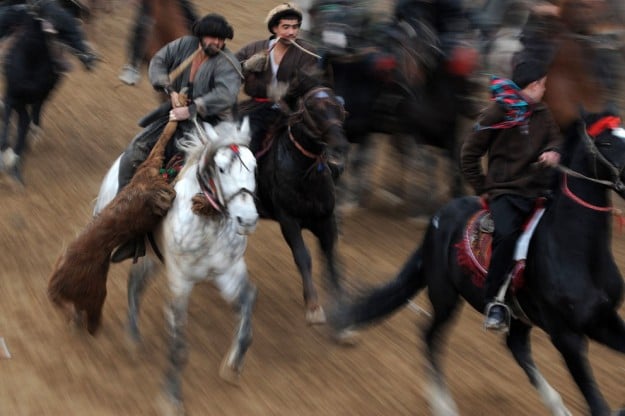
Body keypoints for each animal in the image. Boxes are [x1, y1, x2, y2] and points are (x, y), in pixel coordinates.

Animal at [0, 1, 95, 184]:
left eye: (73, 22)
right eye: (62, 29)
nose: (91, 59)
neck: (29, 63)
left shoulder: (35, 97)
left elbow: (25, 123)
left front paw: (15, 164)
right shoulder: (12, 97)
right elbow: (8, 125)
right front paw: (7, 154)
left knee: (35, 113)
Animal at [93, 118, 258, 412]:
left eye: (255, 166)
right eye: (222, 168)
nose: (247, 219)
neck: (207, 224)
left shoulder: (228, 271)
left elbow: (248, 304)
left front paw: (233, 365)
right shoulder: (180, 281)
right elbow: (179, 347)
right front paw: (171, 397)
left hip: (153, 258)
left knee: (135, 282)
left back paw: (133, 336)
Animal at [255, 70, 352, 324]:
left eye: (339, 106)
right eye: (312, 108)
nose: (340, 148)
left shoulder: (326, 220)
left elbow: (331, 258)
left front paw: (343, 311)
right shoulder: (288, 221)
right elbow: (303, 256)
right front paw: (314, 306)